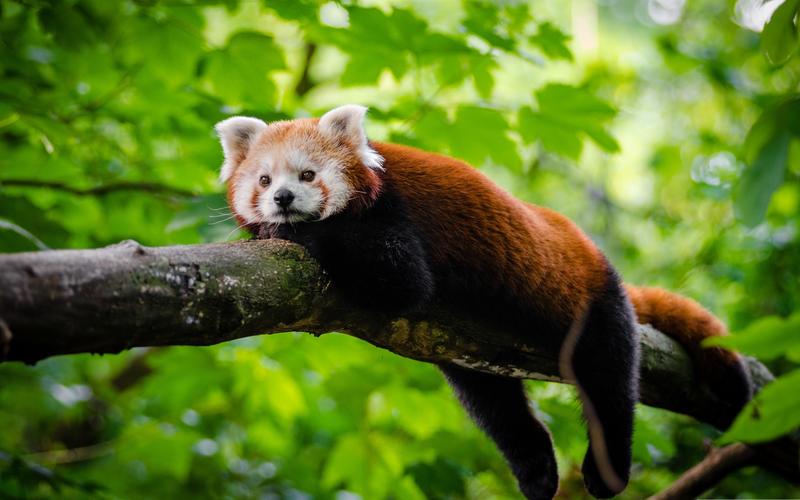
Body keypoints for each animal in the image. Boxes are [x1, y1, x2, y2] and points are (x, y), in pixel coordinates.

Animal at [212, 103, 752, 498]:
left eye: (307, 175)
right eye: (264, 180)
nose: (282, 200)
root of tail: (595, 255)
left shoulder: (394, 216)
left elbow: (401, 279)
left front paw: (288, 231)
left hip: (595, 304)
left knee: (609, 380)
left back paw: (607, 467)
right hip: (468, 348)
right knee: (493, 404)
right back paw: (536, 469)